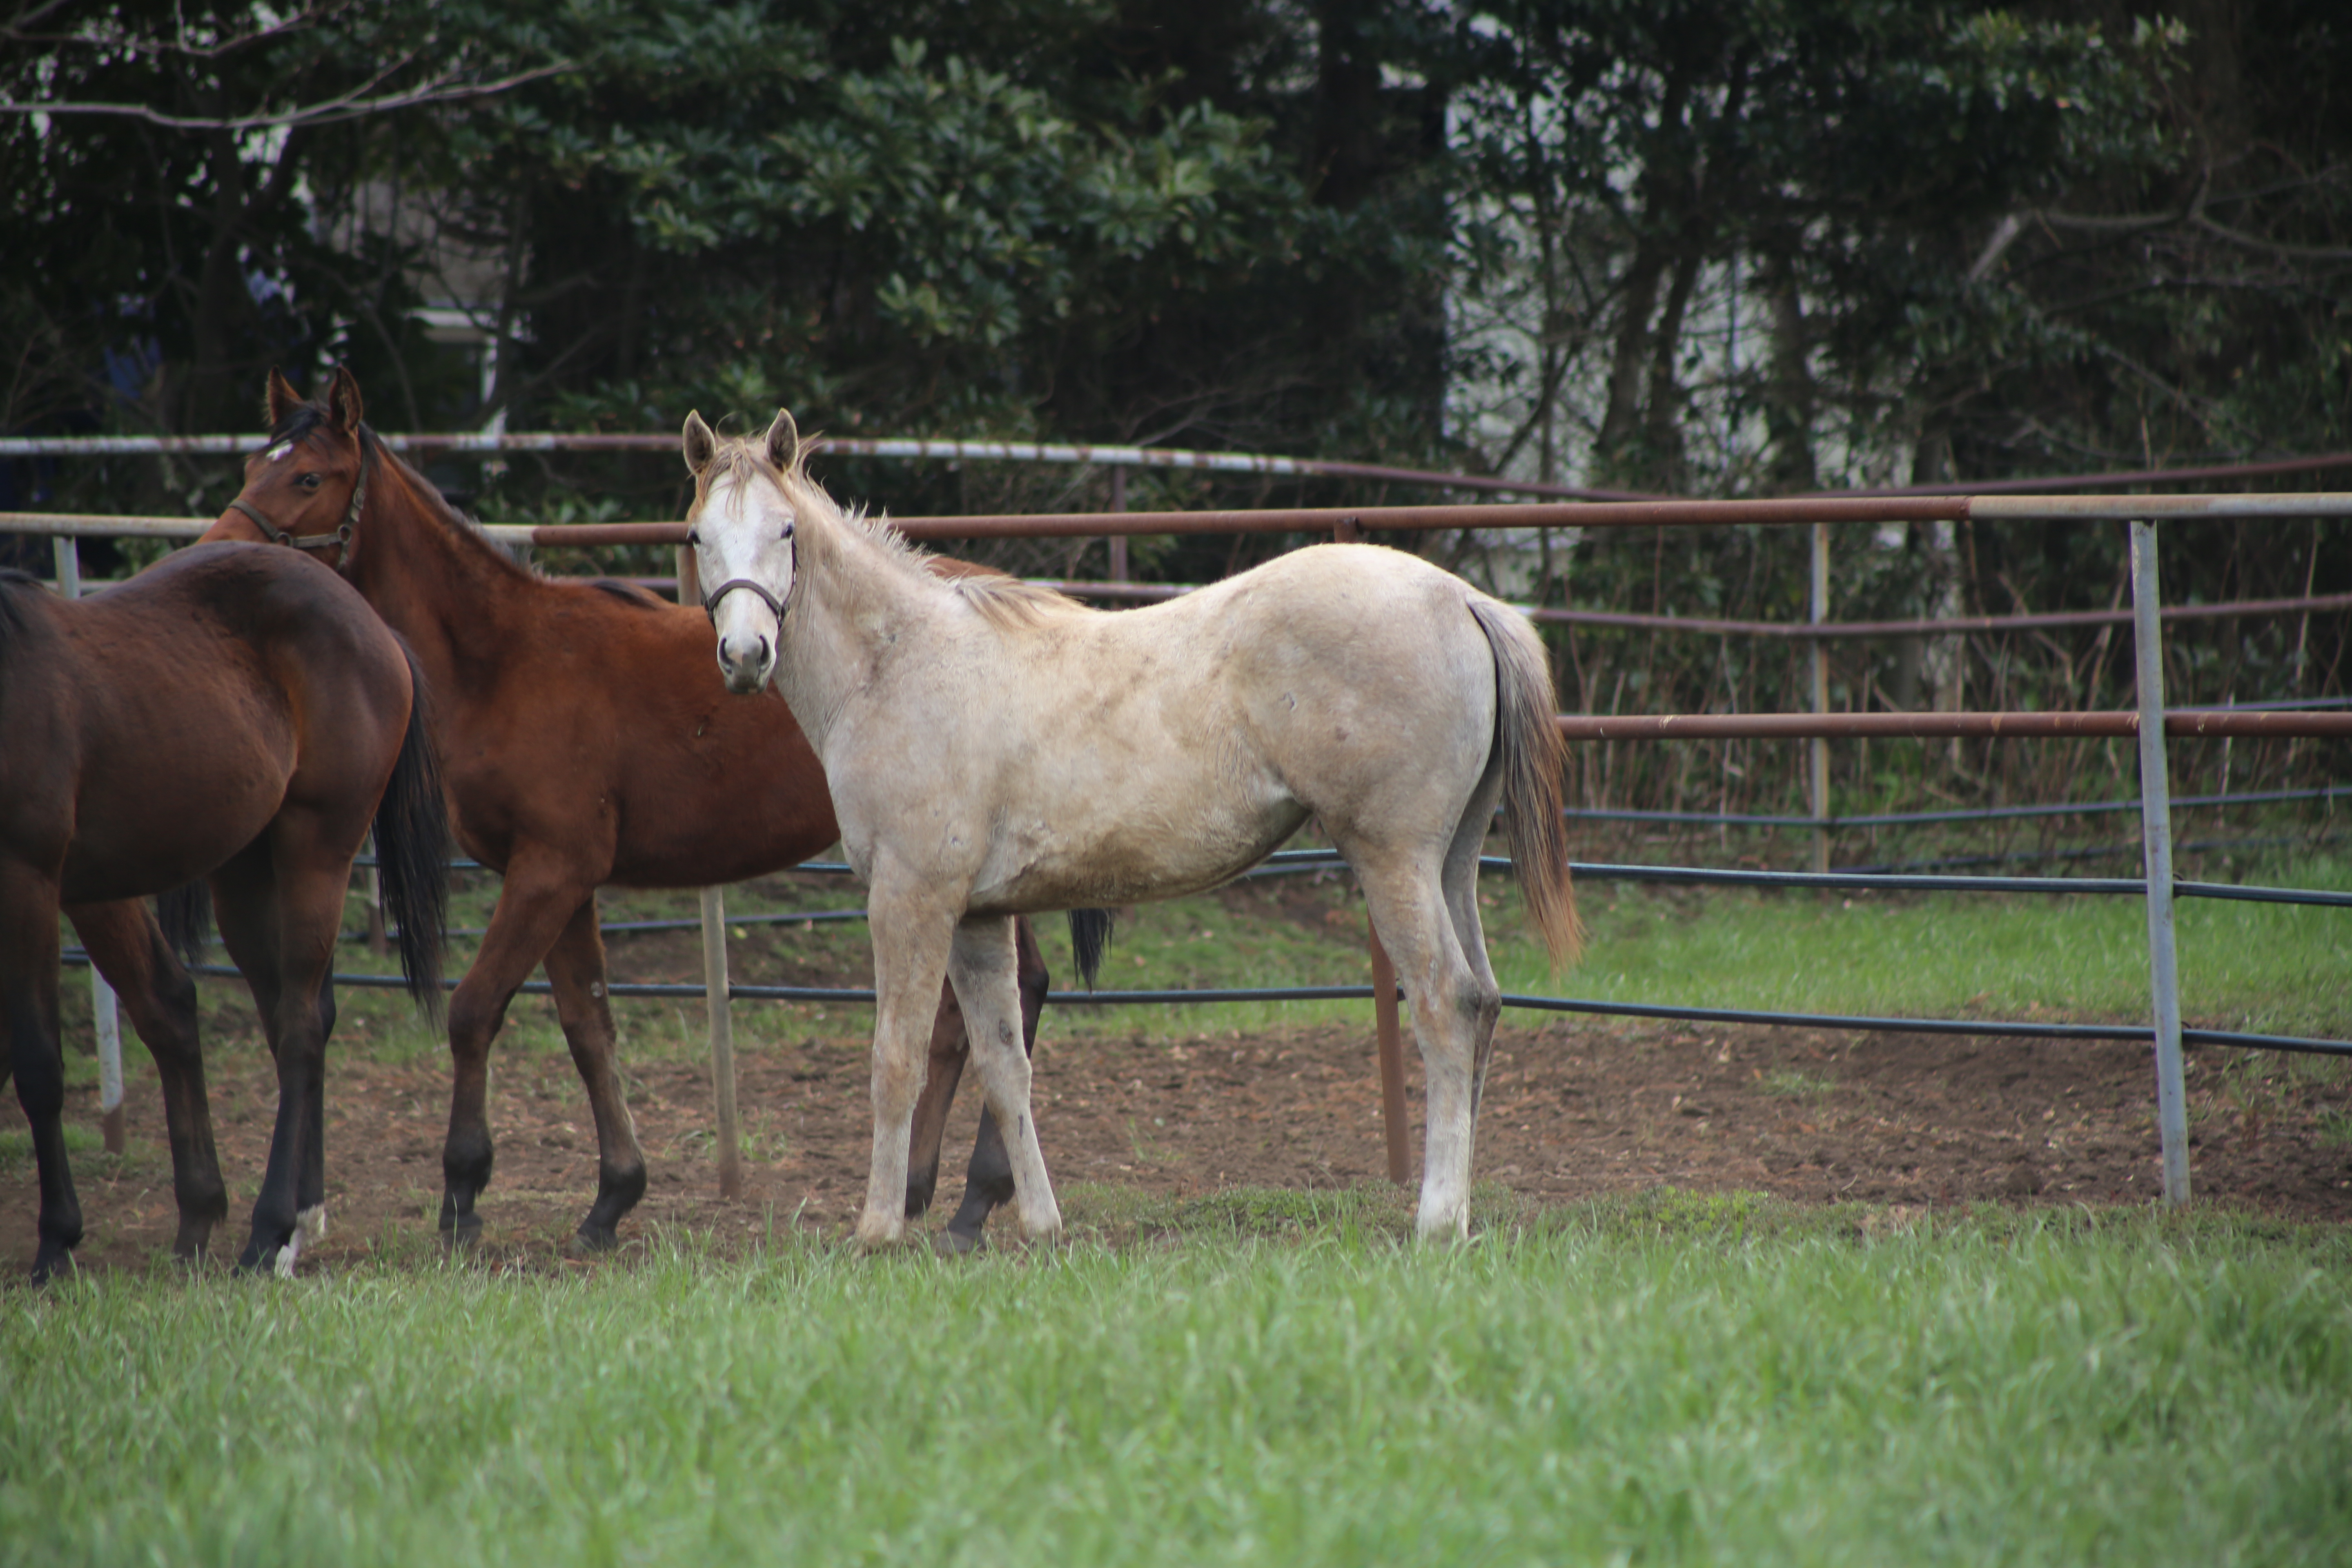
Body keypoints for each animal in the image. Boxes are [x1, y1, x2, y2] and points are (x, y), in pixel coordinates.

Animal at [1, 545, 444, 1278]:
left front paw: (56, 1244)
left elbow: (38, 1066)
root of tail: (377, 630)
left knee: (298, 1029)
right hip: (240, 873)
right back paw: (289, 1224)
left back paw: (268, 1233)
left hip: (316, 853)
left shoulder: (28, 879)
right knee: (276, 1015)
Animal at [207, 364, 1077, 1250]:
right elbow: (588, 1027)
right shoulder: (565, 883)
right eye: (251, 466)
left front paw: (463, 1194)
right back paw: (946, 1192)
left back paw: (970, 1195)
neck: (502, 660)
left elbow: (475, 1011)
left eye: (309, 478)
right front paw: (612, 1196)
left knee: (999, 1003)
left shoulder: (549, 871)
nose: (216, 550)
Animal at [682, 411, 1590, 1241]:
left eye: (786, 530)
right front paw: (1041, 1226)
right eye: (697, 535)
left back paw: (1436, 1220)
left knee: (1445, 1005)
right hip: (1451, 861)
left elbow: (895, 1061)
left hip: (1393, 860)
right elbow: (1006, 1066)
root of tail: (1462, 598)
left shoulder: (912, 902)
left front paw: (876, 1231)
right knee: (1484, 1001)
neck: (898, 664)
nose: (745, 656)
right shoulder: (978, 917)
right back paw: (1461, 1213)